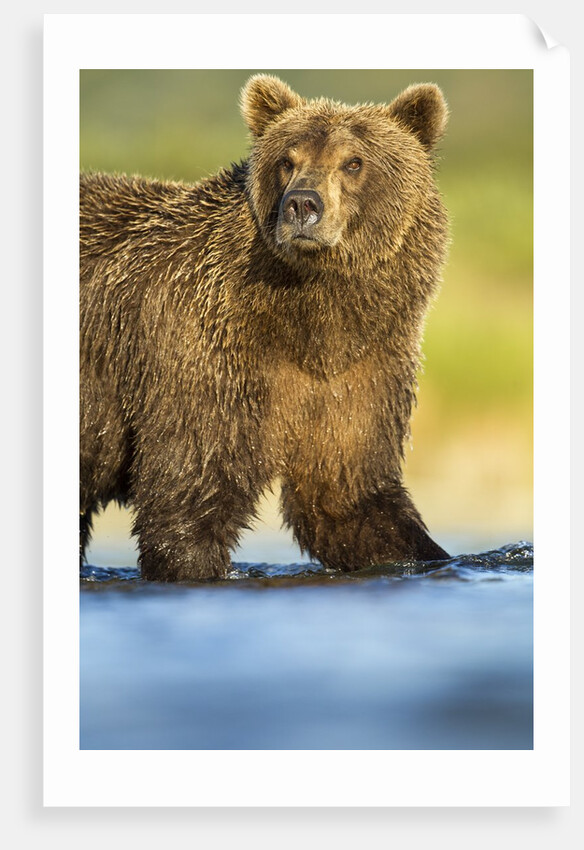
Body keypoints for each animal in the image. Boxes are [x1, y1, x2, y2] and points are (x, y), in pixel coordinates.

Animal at [80, 74, 450, 582]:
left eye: (353, 161)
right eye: (287, 161)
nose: (302, 204)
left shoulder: (360, 369)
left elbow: (350, 497)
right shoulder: (204, 354)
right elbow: (189, 492)